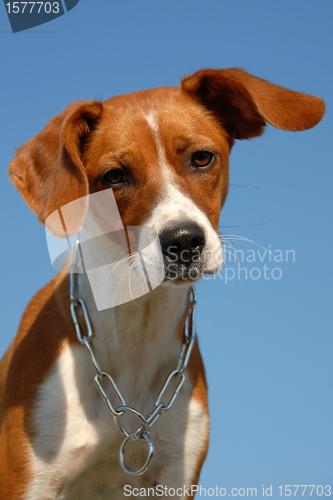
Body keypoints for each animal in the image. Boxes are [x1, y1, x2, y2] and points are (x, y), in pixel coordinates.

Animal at [1, 70, 322, 500]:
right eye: (114, 176)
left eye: (202, 157)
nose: (184, 240)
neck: (138, 328)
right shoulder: (30, 479)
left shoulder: (175, 472)